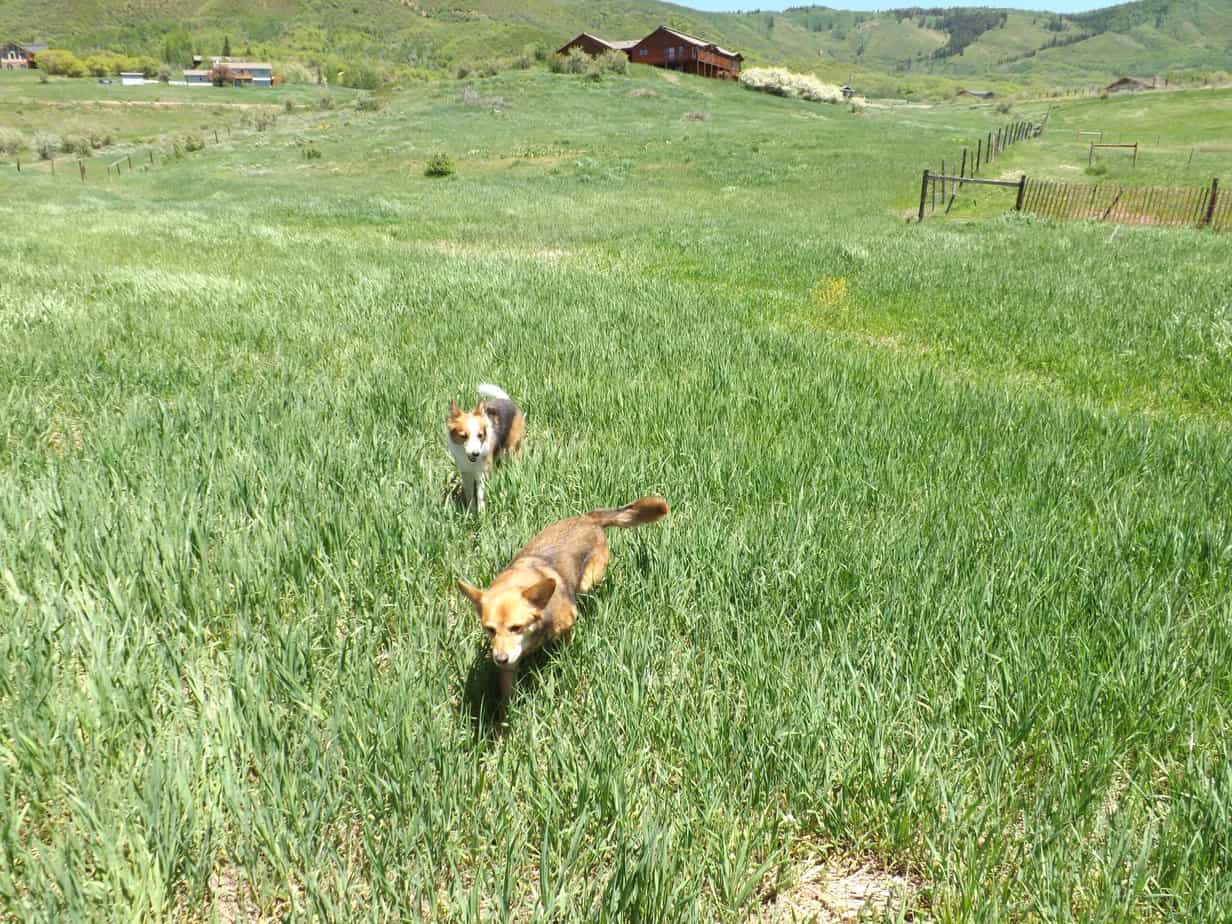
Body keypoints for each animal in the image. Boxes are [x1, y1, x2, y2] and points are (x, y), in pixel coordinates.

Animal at [445, 384, 522, 514]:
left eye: (480, 435)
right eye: (464, 436)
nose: (475, 453)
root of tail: (507, 400)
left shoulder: (482, 472)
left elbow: (481, 495)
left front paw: (481, 514)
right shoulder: (466, 473)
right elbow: (470, 494)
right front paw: (471, 512)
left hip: (511, 451)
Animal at [458, 500, 670, 699]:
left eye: (516, 627)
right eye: (490, 630)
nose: (500, 659)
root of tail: (587, 518)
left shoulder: (567, 623)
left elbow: (565, 647)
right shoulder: (511, 662)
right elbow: (507, 695)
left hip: (588, 581)